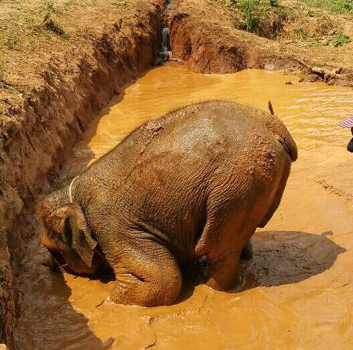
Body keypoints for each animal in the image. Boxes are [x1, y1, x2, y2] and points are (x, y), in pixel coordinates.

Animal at [37, 100, 296, 306]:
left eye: (53, 249)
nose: (47, 266)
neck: (73, 191)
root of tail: (272, 123)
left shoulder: (111, 228)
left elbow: (164, 281)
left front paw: (108, 302)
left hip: (235, 188)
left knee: (219, 252)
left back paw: (214, 288)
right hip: (251, 190)